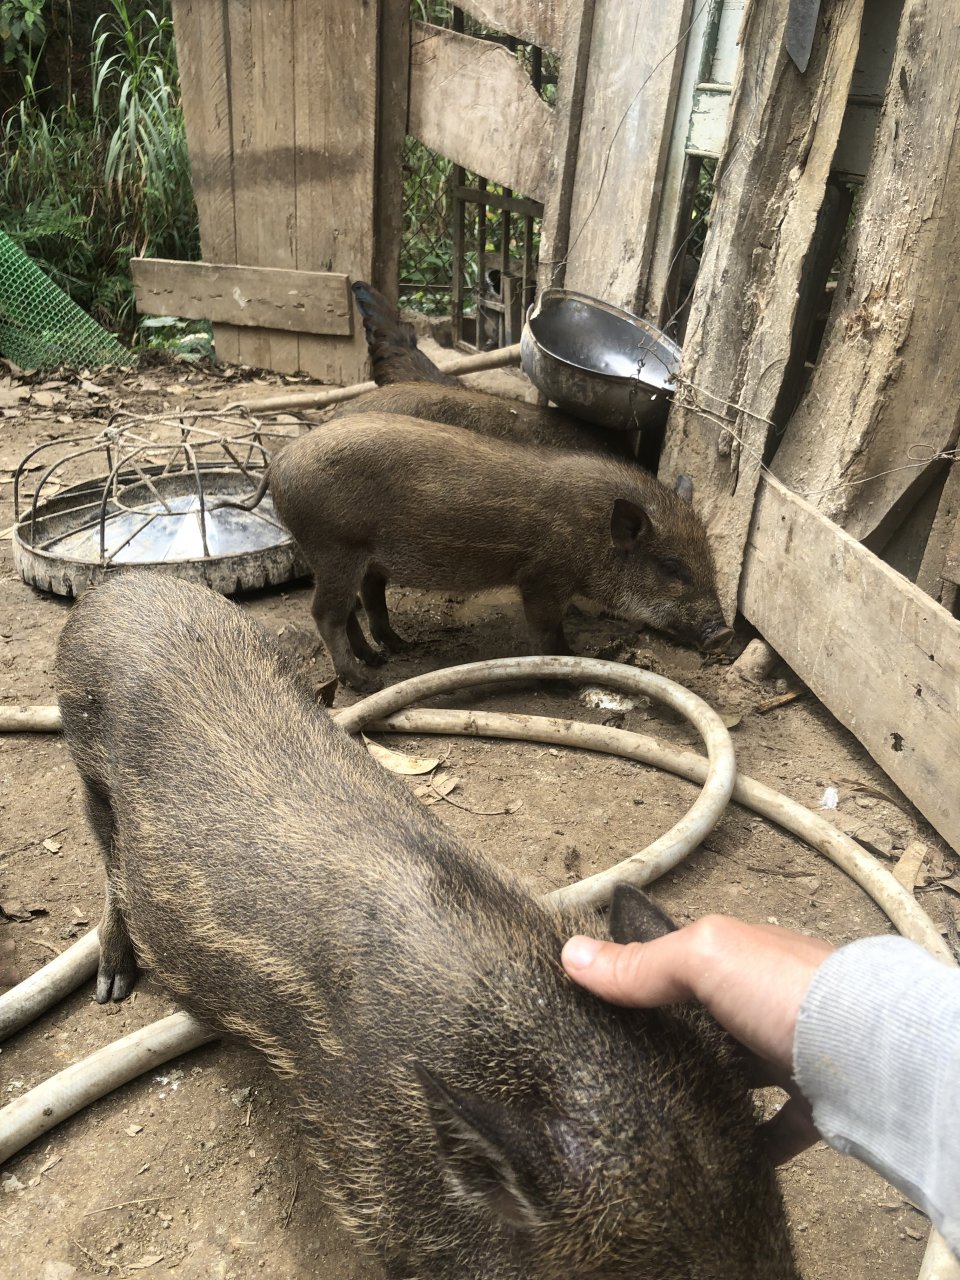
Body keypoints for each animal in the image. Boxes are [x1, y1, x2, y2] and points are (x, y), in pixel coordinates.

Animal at [56, 571, 799, 1280]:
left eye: (776, 1223)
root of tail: (118, 588)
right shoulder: (370, 1188)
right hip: (86, 770)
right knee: (109, 868)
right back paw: (111, 987)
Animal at [266, 415, 733, 690]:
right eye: (671, 567)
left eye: (710, 562)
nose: (724, 633)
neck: (593, 533)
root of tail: (279, 460)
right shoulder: (542, 576)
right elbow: (547, 631)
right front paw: (568, 670)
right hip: (334, 549)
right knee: (325, 612)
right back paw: (364, 682)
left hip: (348, 557)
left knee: (353, 607)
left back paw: (388, 653)